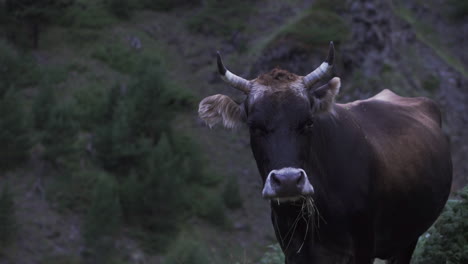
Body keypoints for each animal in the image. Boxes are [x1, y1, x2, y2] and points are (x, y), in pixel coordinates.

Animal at [198, 42, 454, 262]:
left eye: (309, 122)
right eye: (254, 126)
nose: (288, 181)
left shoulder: (363, 246)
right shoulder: (293, 252)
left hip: (408, 237)